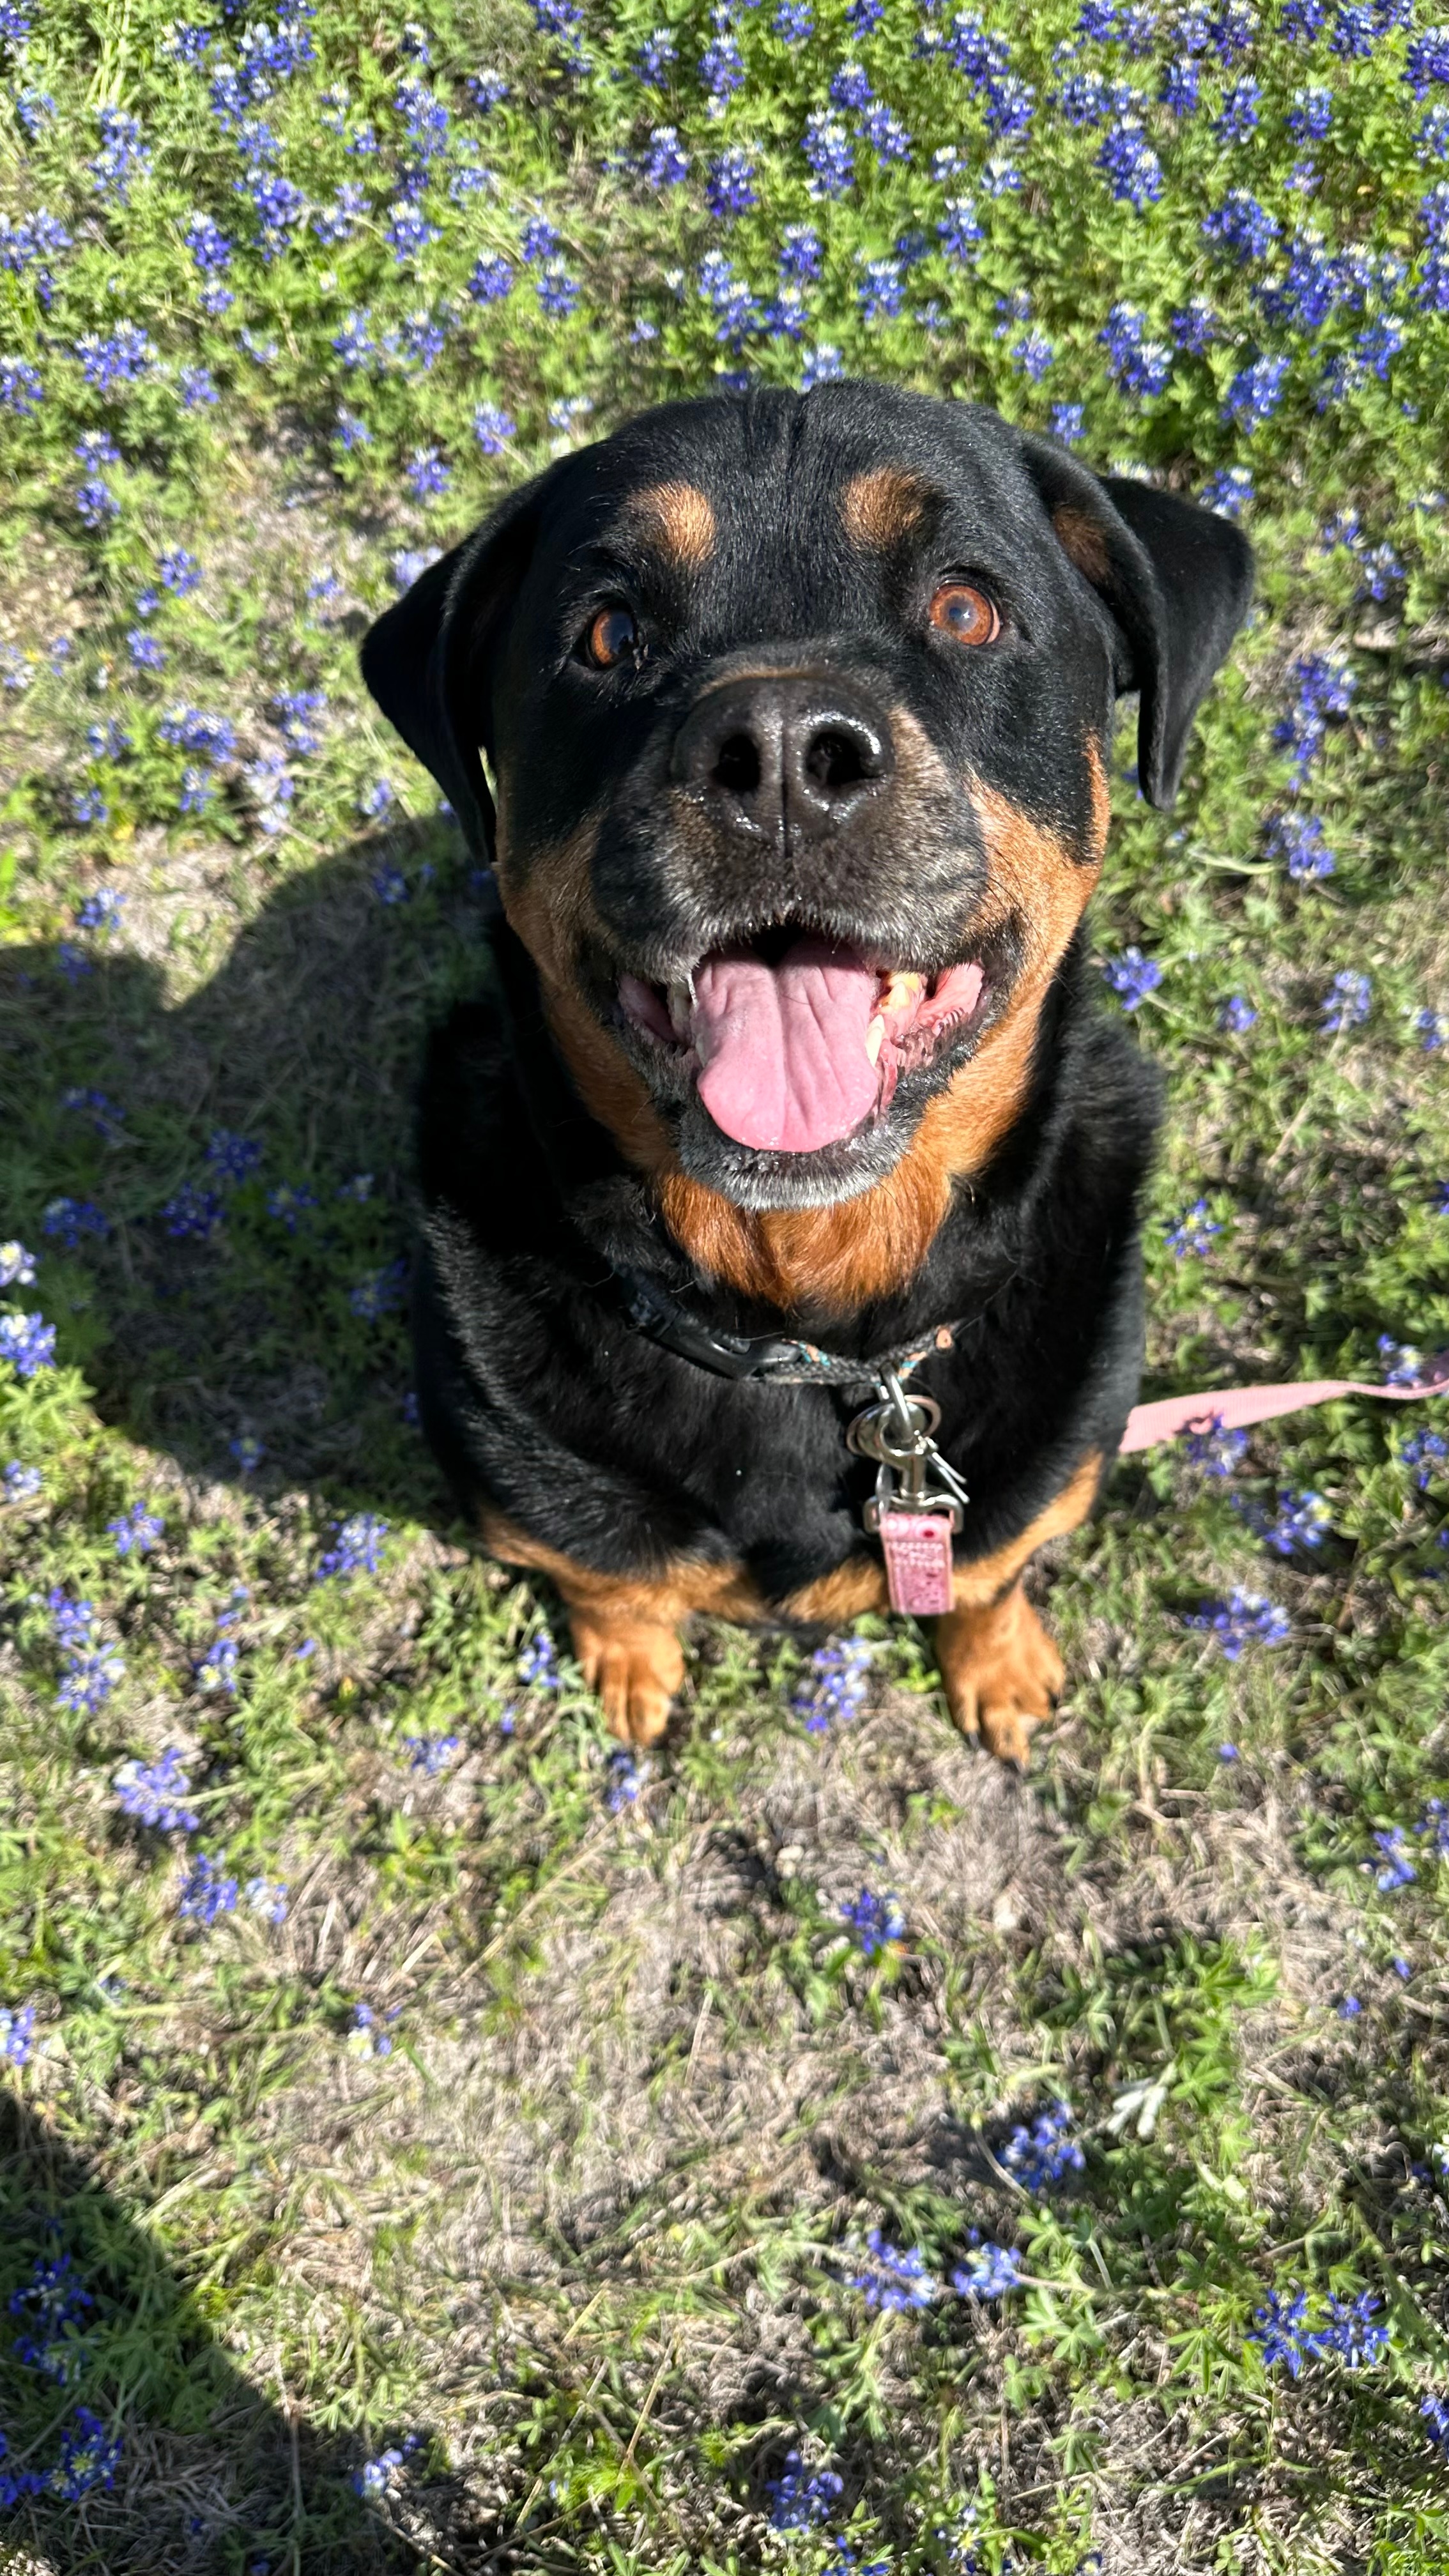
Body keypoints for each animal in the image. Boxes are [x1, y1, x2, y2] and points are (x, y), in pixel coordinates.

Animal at [355, 376, 1248, 1772]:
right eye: (606, 634)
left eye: (965, 607)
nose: (777, 753)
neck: (807, 1333)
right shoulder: (533, 1488)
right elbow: (607, 1574)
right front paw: (631, 1664)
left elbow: (992, 1568)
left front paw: (1001, 1667)